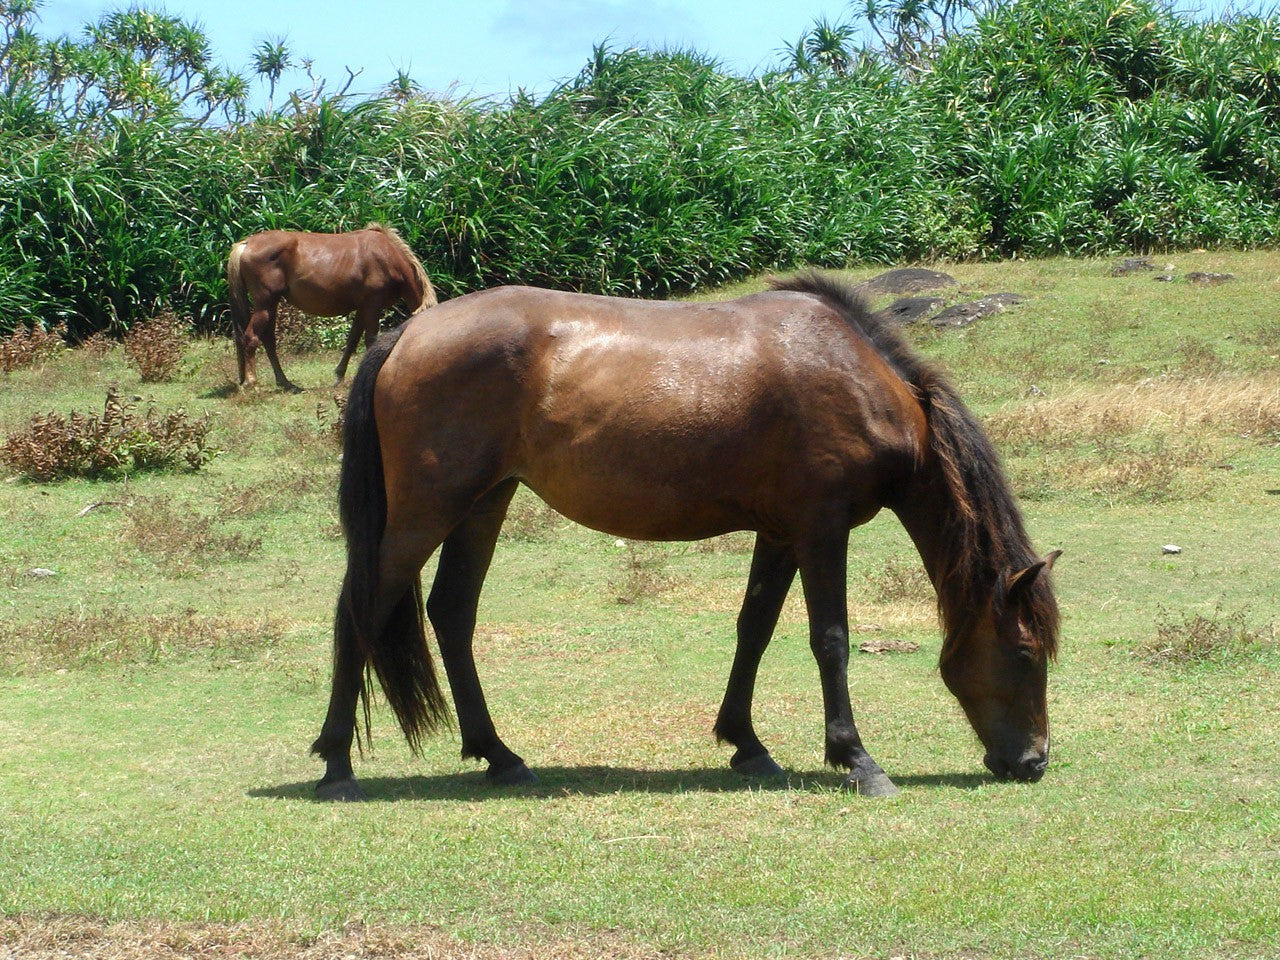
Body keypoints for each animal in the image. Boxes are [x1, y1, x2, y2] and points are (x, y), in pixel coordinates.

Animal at [226, 224, 437, 392]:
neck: (386, 256)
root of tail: (247, 244)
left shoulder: (362, 308)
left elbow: (352, 340)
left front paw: (339, 376)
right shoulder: (372, 306)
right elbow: (370, 340)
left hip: (271, 304)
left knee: (268, 340)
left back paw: (286, 383)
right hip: (265, 303)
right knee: (252, 337)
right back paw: (253, 382)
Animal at [311, 272, 1062, 801]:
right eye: (1026, 654)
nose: (1033, 762)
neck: (856, 378)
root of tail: (407, 334)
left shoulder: (781, 534)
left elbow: (754, 628)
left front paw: (746, 744)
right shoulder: (821, 530)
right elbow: (831, 641)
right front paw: (857, 759)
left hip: (483, 504)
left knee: (451, 613)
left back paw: (500, 756)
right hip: (425, 513)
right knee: (360, 610)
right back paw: (338, 762)